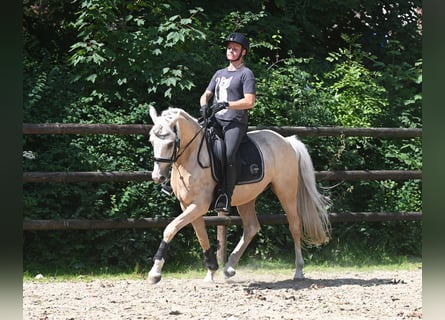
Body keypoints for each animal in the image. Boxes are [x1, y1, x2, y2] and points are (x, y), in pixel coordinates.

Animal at [147, 107, 330, 282]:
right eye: (152, 141)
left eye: (170, 143)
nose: (157, 177)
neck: (191, 157)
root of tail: (287, 141)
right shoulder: (187, 205)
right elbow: (201, 236)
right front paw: (211, 270)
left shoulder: (199, 205)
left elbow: (170, 229)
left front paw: (155, 272)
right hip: (246, 198)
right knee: (251, 227)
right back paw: (229, 268)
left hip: (286, 192)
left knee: (295, 226)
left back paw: (298, 271)